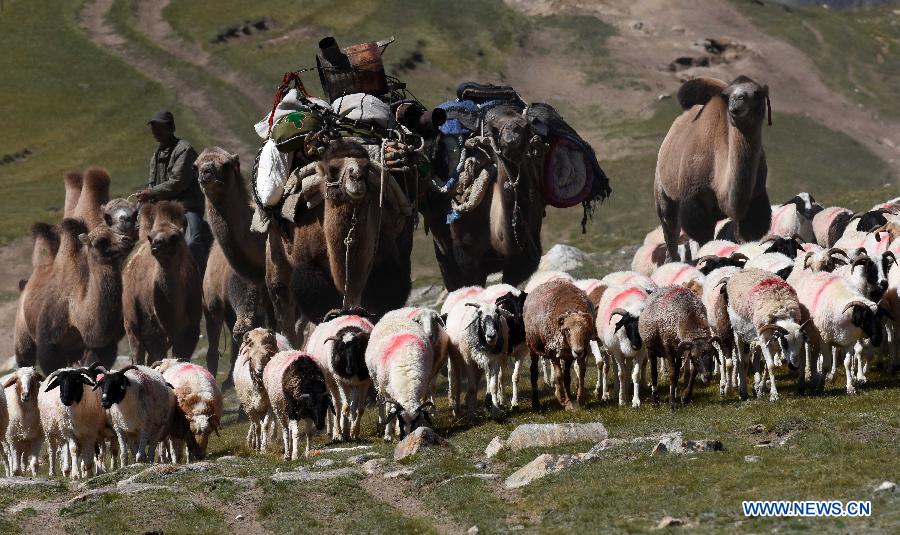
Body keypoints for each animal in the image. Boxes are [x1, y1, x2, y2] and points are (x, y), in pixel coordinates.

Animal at [121, 199, 200, 366]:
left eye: (175, 236)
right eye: (151, 237)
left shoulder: (191, 325)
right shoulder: (149, 323)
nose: (157, 244)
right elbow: (157, 351)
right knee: (137, 349)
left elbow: (182, 354)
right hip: (130, 322)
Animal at [302, 312, 372, 442]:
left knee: (351, 405)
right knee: (336, 405)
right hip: (330, 381)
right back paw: (337, 433)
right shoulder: (340, 381)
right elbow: (345, 407)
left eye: (358, 348)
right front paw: (342, 431)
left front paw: (354, 431)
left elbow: (359, 409)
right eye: (341, 350)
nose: (350, 369)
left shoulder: (363, 382)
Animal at [520, 280, 596, 410]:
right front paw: (563, 400)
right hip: (532, 347)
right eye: (566, 330)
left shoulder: (579, 352)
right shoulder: (552, 353)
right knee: (533, 373)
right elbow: (558, 376)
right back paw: (535, 404)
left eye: (585, 330)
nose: (578, 351)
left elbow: (579, 373)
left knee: (567, 376)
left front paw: (579, 399)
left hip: (566, 355)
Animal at [652, 75, 772, 260]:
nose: (736, 106)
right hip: (664, 195)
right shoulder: (696, 204)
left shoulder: (754, 201)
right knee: (670, 230)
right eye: (728, 96)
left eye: (758, 94)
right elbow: (704, 240)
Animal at [724, 270, 808, 400]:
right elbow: (771, 366)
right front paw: (774, 395)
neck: (781, 312)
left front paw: (761, 389)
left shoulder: (772, 341)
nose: (794, 367)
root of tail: (740, 271)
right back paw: (743, 392)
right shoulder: (764, 340)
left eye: (801, 343)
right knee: (741, 361)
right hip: (738, 332)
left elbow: (767, 368)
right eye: (785, 344)